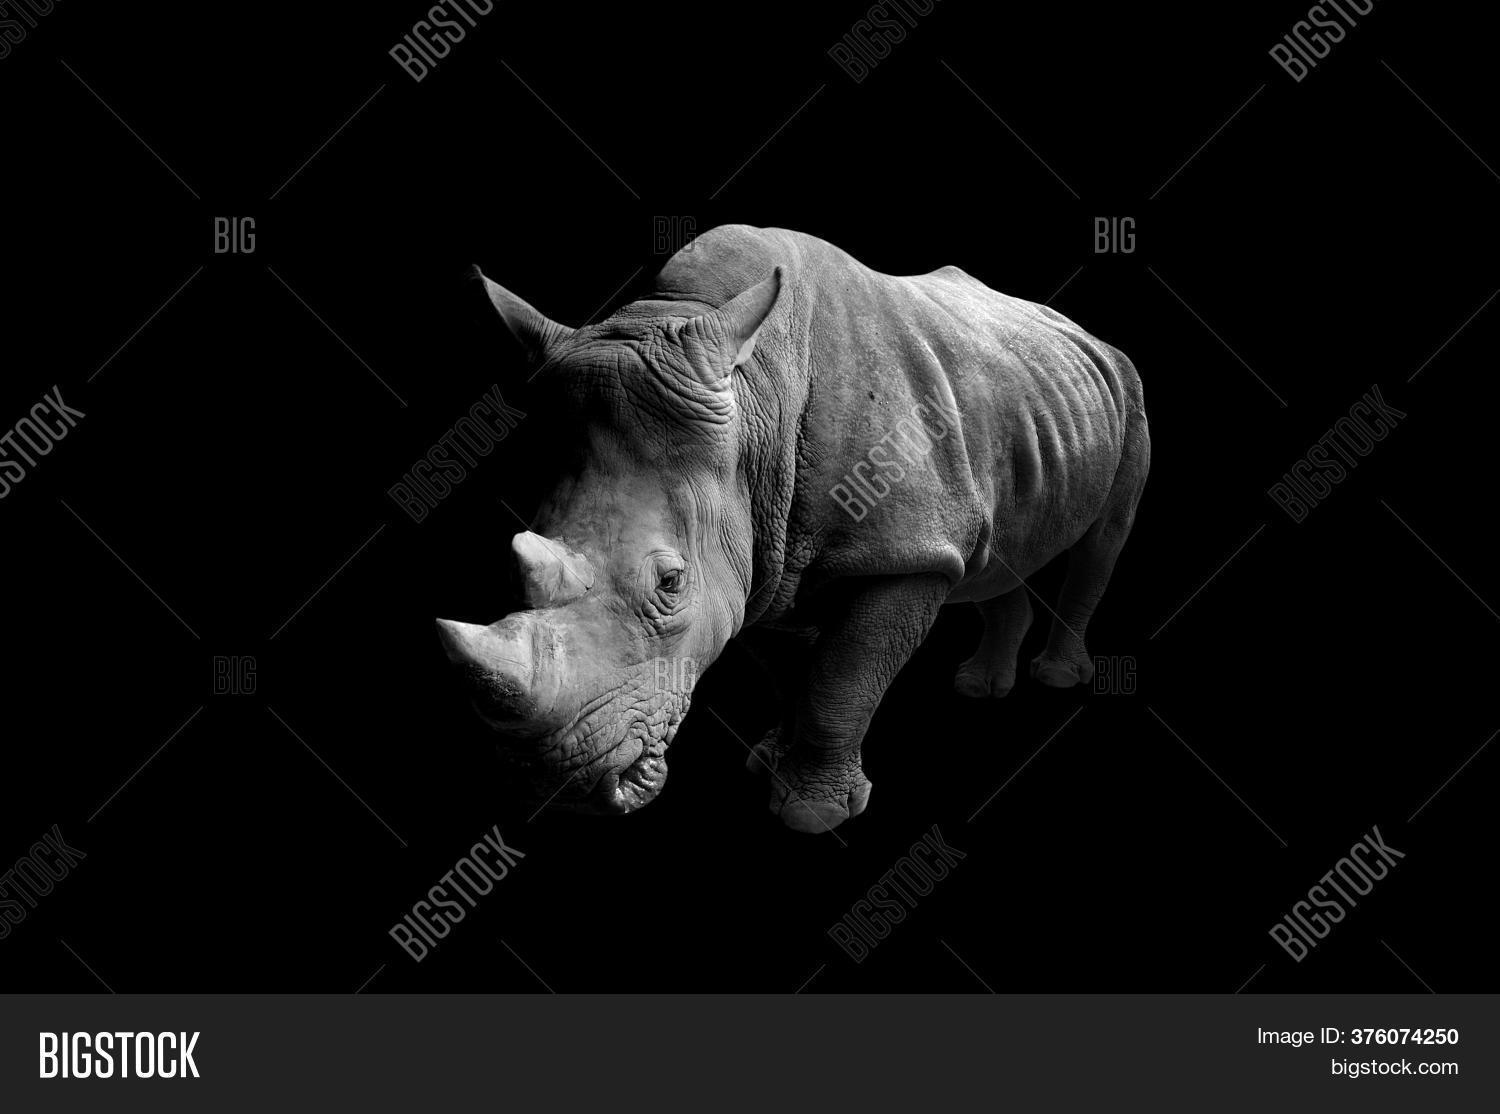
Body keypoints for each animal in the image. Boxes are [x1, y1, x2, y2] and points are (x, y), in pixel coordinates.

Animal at [437, 225, 1149, 833]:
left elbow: (843, 677)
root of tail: (1085, 333)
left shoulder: (908, 552)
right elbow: (789, 669)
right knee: (1003, 553)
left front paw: (814, 814)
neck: (759, 402)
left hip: (1127, 387)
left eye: (671, 584)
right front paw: (769, 762)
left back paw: (1057, 678)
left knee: (1103, 542)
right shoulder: (765, 553)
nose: (556, 786)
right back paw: (980, 688)